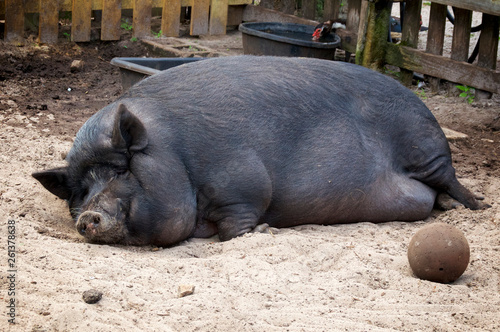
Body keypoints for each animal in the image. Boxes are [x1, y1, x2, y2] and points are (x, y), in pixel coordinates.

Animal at [32, 55, 488, 245]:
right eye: (80, 193)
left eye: (122, 170)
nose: (88, 216)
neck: (178, 153)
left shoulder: (242, 181)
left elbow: (239, 220)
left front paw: (266, 231)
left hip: (425, 146)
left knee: (451, 180)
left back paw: (474, 207)